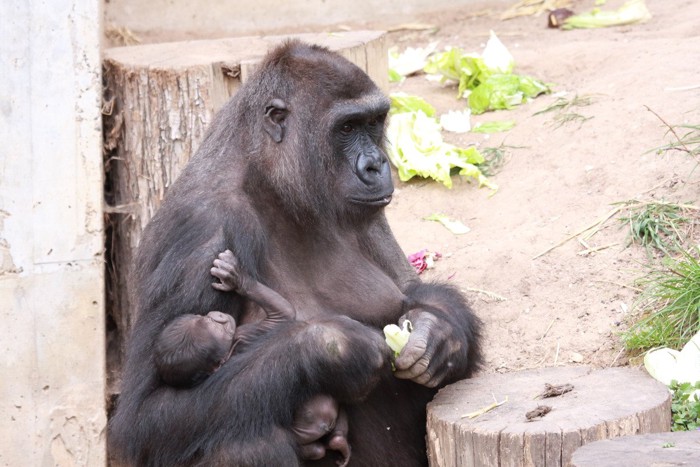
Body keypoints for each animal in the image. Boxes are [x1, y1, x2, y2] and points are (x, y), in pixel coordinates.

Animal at [153, 250, 350, 466]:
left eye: (203, 319)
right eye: (215, 326)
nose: (216, 316)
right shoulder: (244, 335)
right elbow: (282, 315)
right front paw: (238, 278)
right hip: (309, 426)